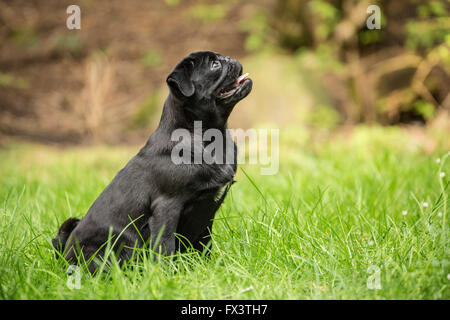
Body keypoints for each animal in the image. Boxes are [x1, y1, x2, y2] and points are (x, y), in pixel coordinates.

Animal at [52, 50, 253, 272]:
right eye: (215, 65)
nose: (230, 59)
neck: (210, 137)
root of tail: (65, 253)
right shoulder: (167, 207)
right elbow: (165, 246)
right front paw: (167, 274)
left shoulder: (206, 213)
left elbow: (204, 244)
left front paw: (205, 268)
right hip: (117, 244)